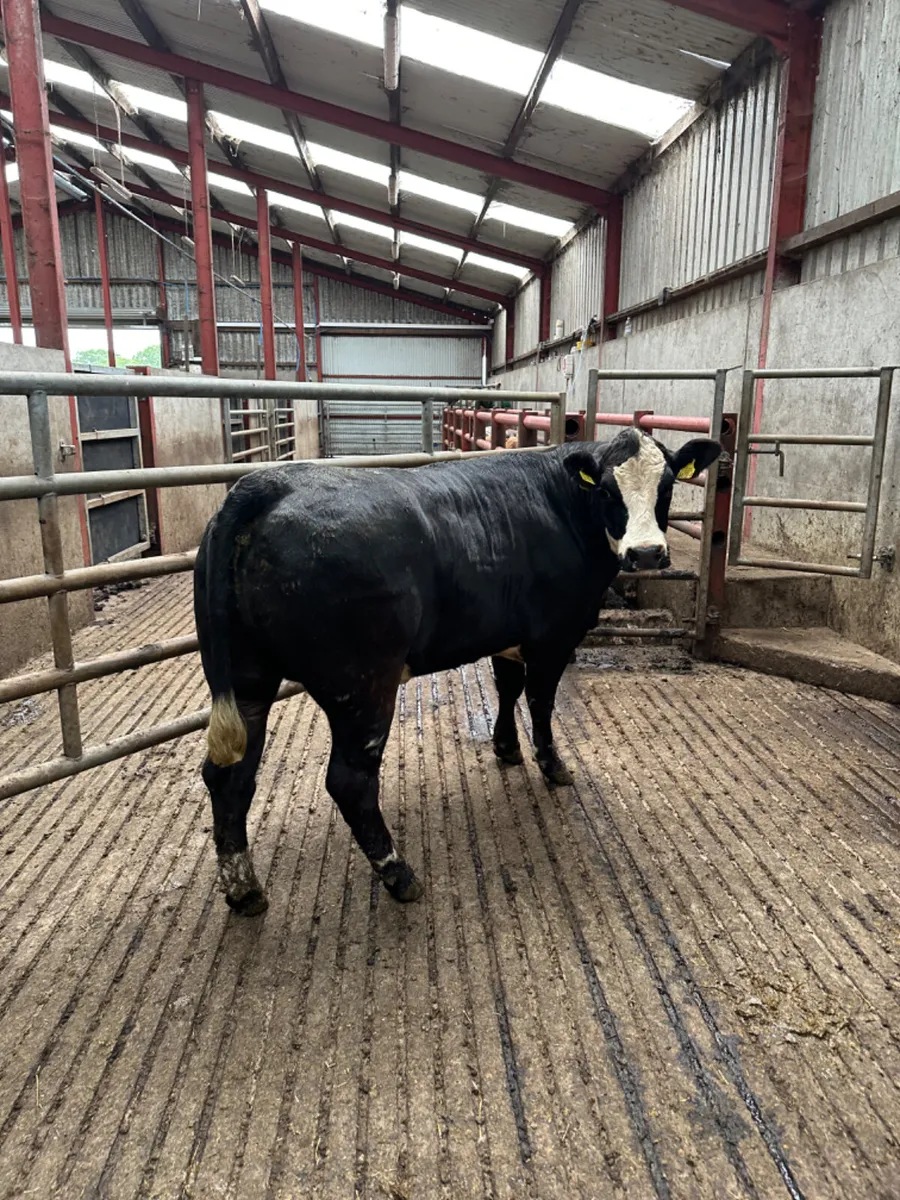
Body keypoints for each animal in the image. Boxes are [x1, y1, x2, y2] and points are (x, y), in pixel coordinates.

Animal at [194, 429, 721, 915]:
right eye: (609, 491)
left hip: (248, 678)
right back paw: (399, 874)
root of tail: (264, 484)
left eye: (668, 485)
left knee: (230, 776)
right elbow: (540, 700)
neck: (561, 504)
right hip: (362, 683)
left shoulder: (508, 632)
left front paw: (506, 747)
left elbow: (507, 687)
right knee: (350, 781)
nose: (647, 553)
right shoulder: (553, 636)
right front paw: (552, 765)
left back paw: (244, 890)